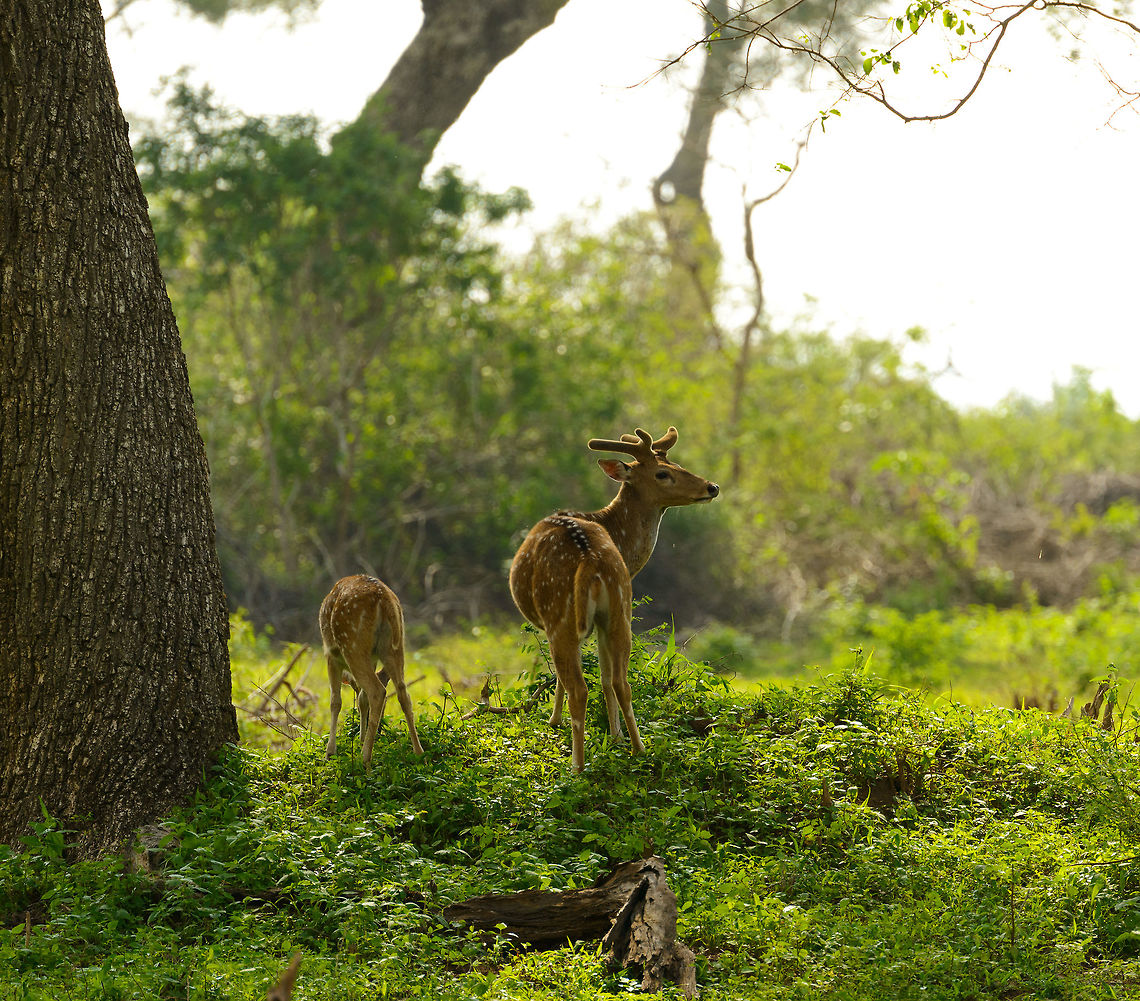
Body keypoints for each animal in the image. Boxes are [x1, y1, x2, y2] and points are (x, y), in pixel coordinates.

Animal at [319, 574, 424, 769]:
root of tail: (384, 598)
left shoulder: (331, 655)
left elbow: (335, 701)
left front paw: (330, 752)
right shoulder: (373, 659)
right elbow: (361, 698)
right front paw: (360, 738)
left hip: (352, 644)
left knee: (377, 691)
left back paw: (365, 758)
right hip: (394, 645)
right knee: (402, 692)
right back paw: (419, 752)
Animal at [509, 427, 719, 772]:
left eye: (676, 465)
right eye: (664, 472)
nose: (711, 486)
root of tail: (590, 559)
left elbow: (564, 680)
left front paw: (554, 721)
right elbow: (607, 678)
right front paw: (615, 735)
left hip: (560, 614)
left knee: (578, 688)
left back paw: (577, 765)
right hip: (620, 609)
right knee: (621, 681)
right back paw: (638, 748)